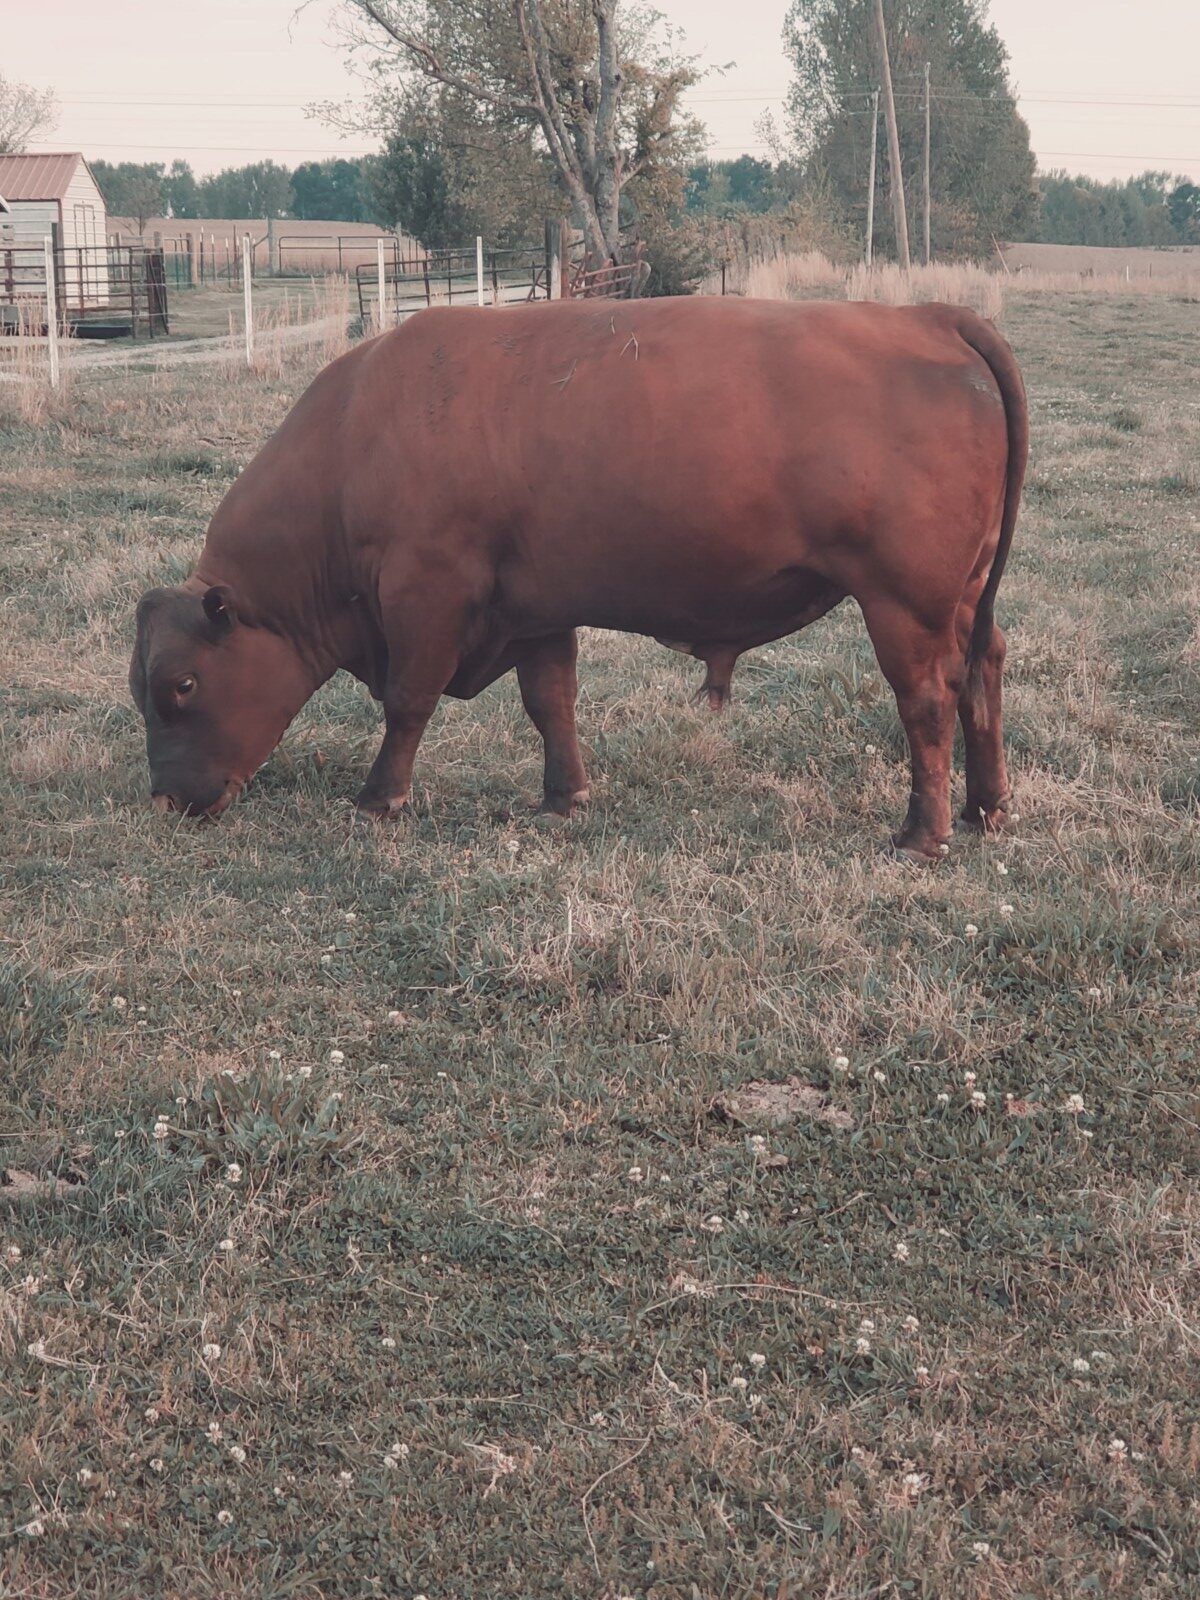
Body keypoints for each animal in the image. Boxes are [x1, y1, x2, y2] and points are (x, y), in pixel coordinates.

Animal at [129, 295, 1027, 862]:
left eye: (180, 685)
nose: (166, 802)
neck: (357, 438)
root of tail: (926, 316)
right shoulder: (534, 609)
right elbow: (550, 703)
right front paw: (564, 798)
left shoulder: (426, 593)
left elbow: (408, 702)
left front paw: (379, 799)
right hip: (964, 600)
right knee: (984, 672)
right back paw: (987, 807)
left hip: (903, 605)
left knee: (927, 702)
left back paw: (922, 835)